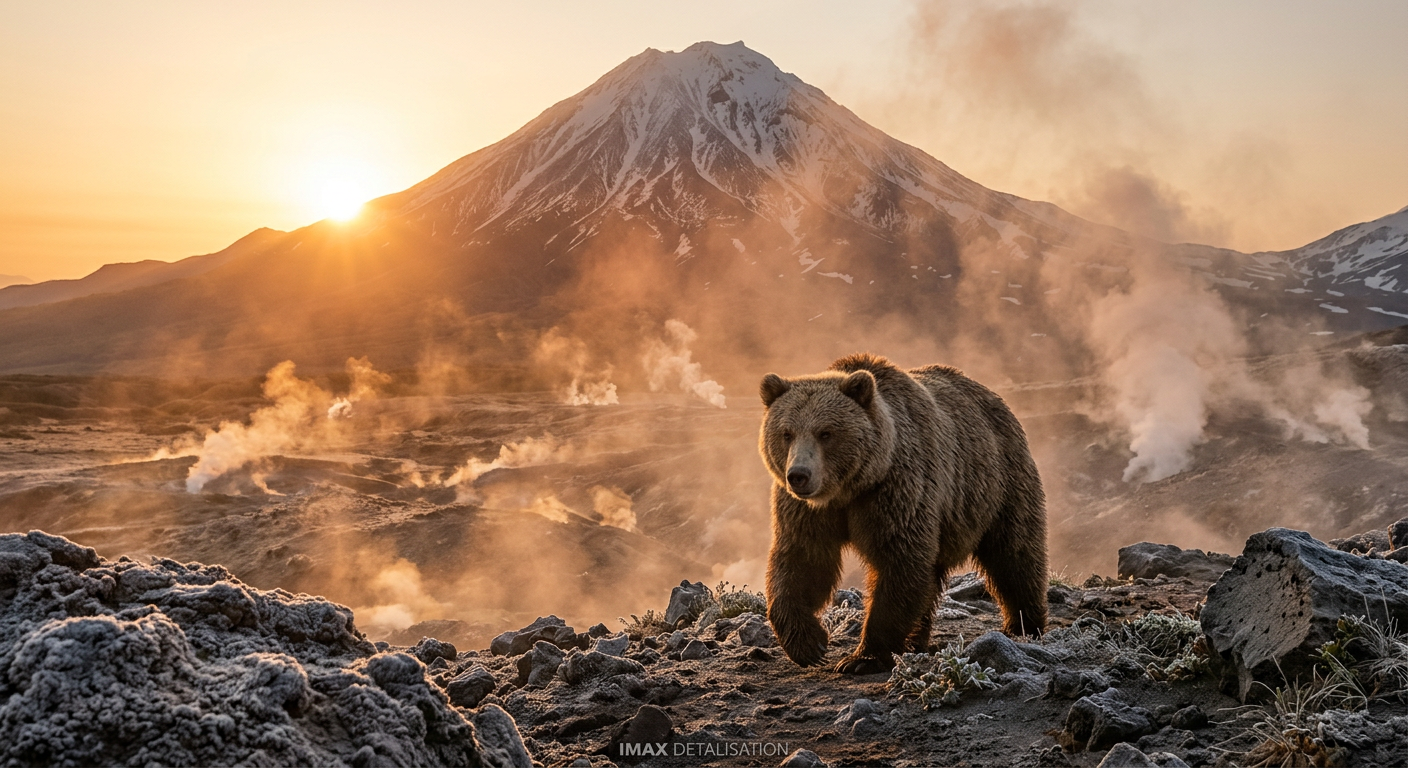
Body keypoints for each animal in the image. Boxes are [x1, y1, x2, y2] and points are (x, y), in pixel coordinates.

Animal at [758, 352, 1047, 674]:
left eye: (826, 432)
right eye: (786, 433)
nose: (799, 475)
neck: (852, 488)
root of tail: (992, 396)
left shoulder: (897, 491)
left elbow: (899, 563)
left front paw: (862, 658)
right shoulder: (807, 512)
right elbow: (803, 561)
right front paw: (808, 644)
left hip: (996, 483)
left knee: (1014, 553)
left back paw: (1023, 625)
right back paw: (916, 640)